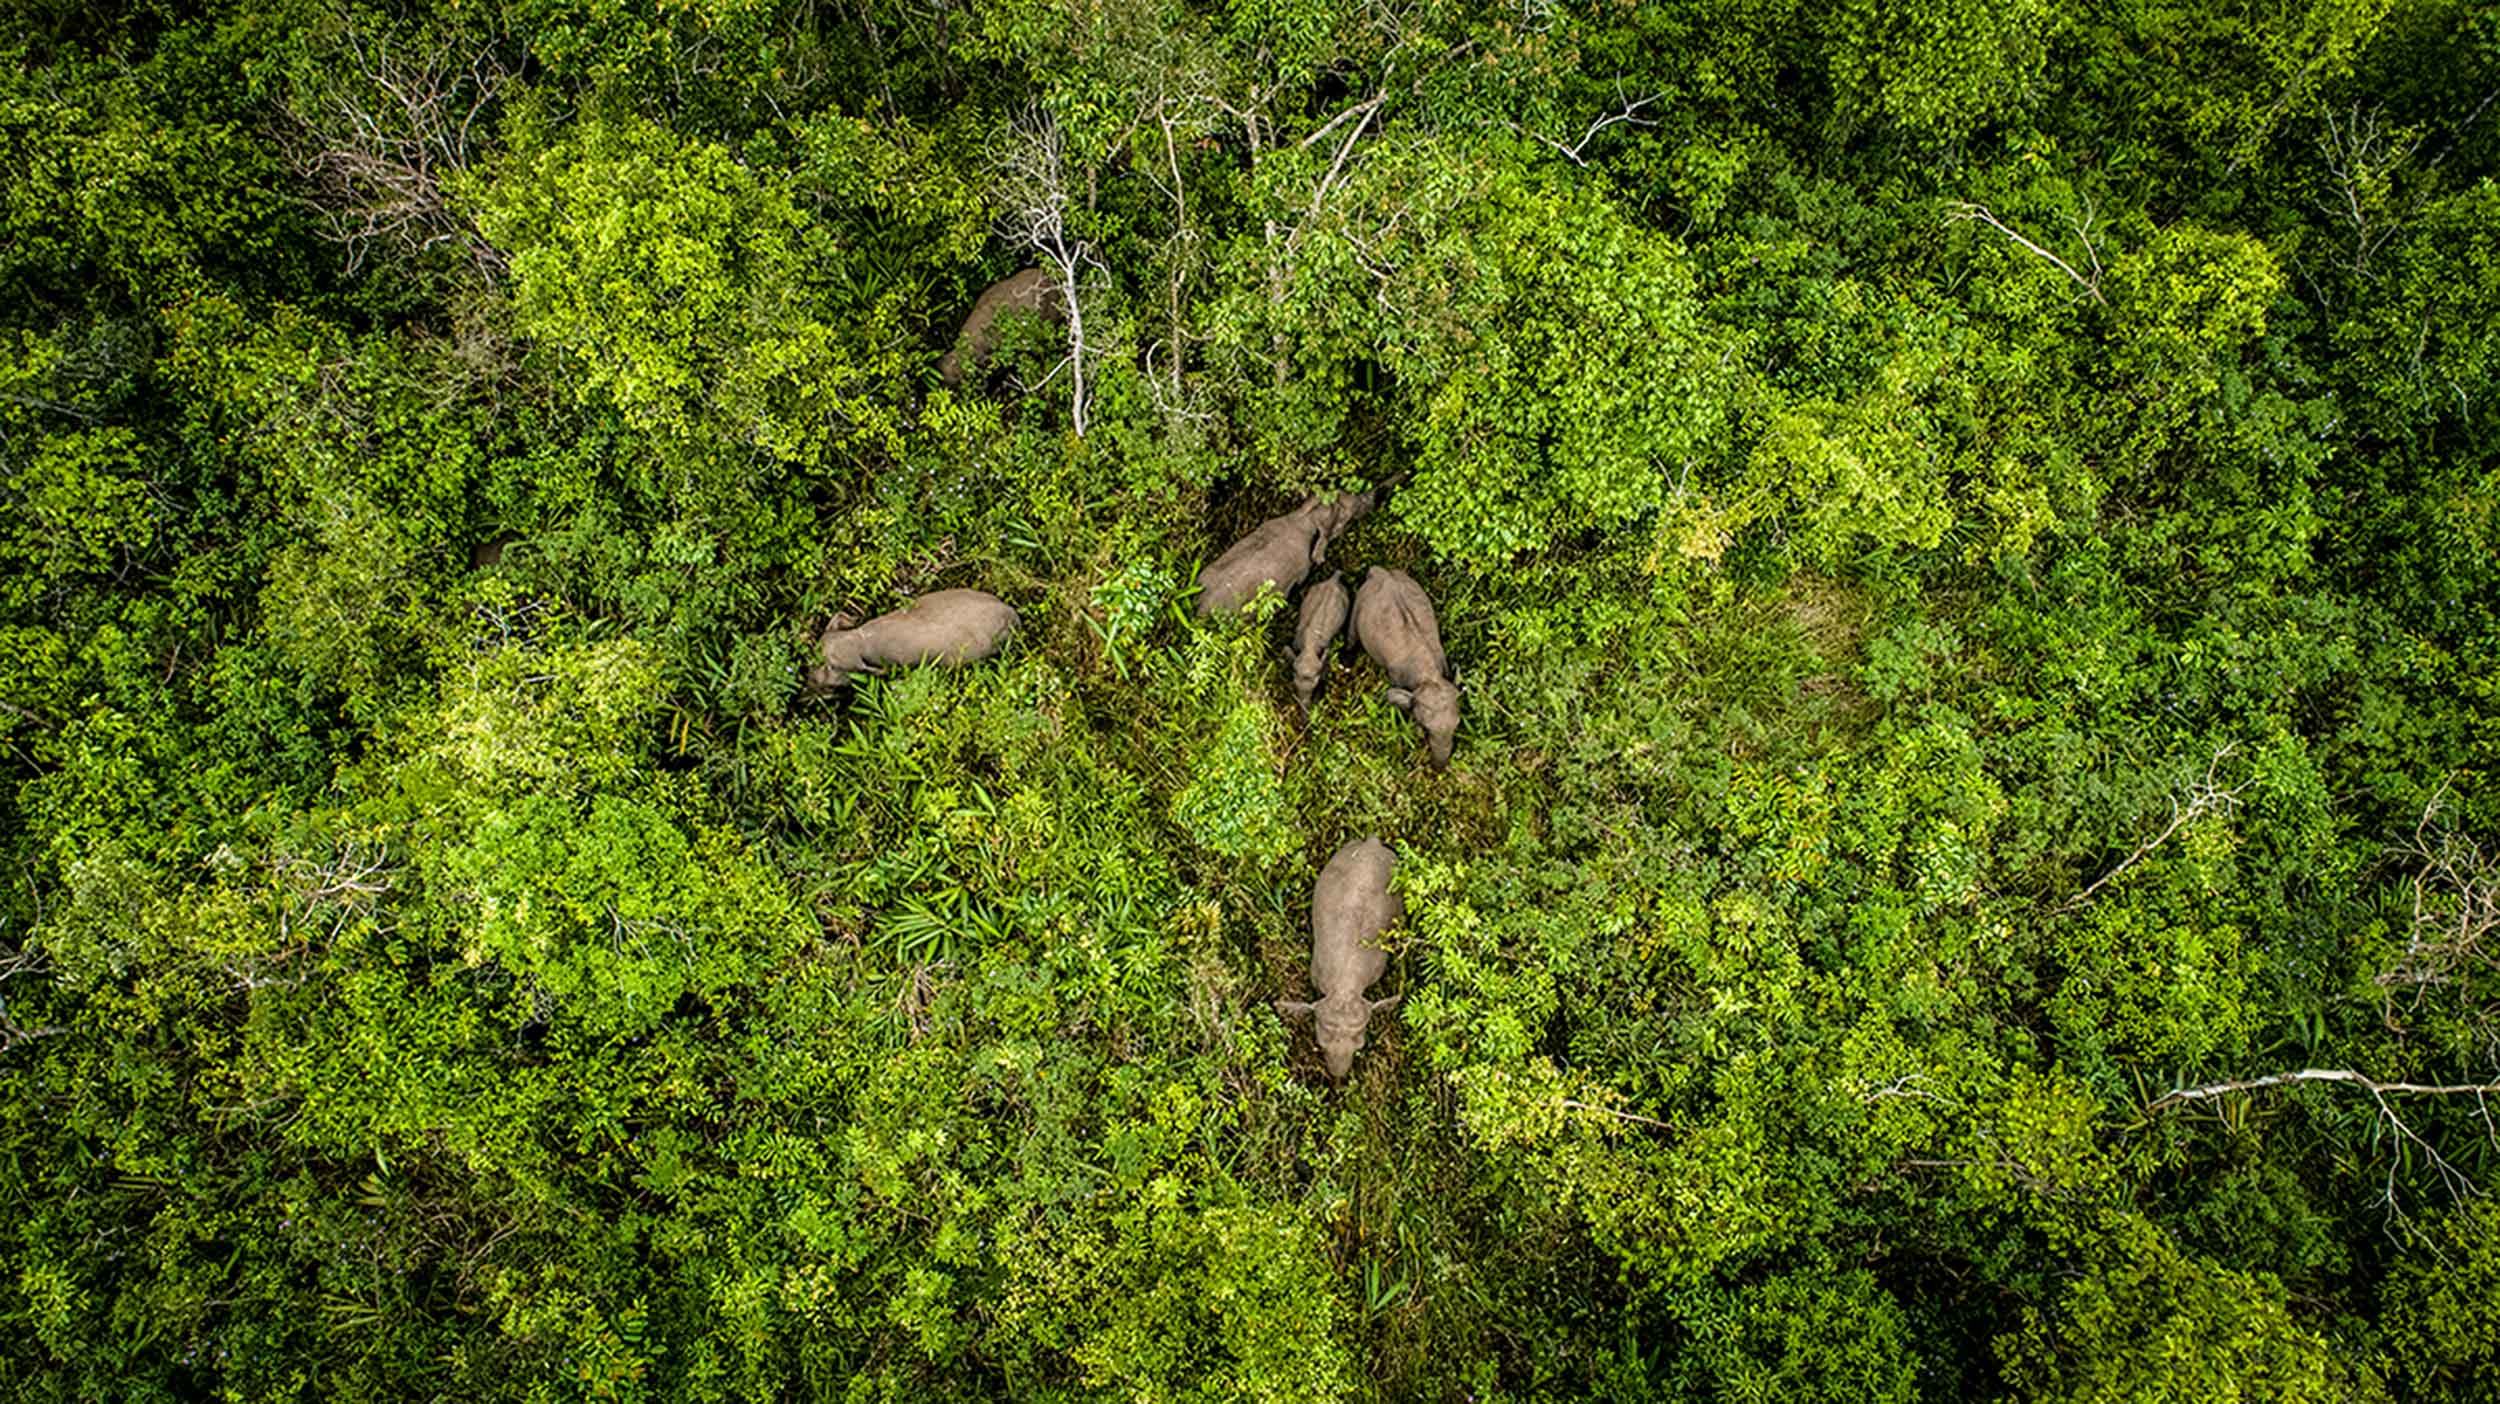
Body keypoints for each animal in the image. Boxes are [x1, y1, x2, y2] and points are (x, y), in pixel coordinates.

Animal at [1290, 569, 1350, 704]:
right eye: (1295, 684)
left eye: (1315, 685)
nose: (1307, 704)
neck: (1309, 646)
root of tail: (1333, 579)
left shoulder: (1326, 649)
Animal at [1350, 562, 1460, 764]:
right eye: (1425, 728)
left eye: (1457, 725)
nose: (1438, 767)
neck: (1429, 674)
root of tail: (1380, 572)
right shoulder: (1396, 677)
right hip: (1360, 601)